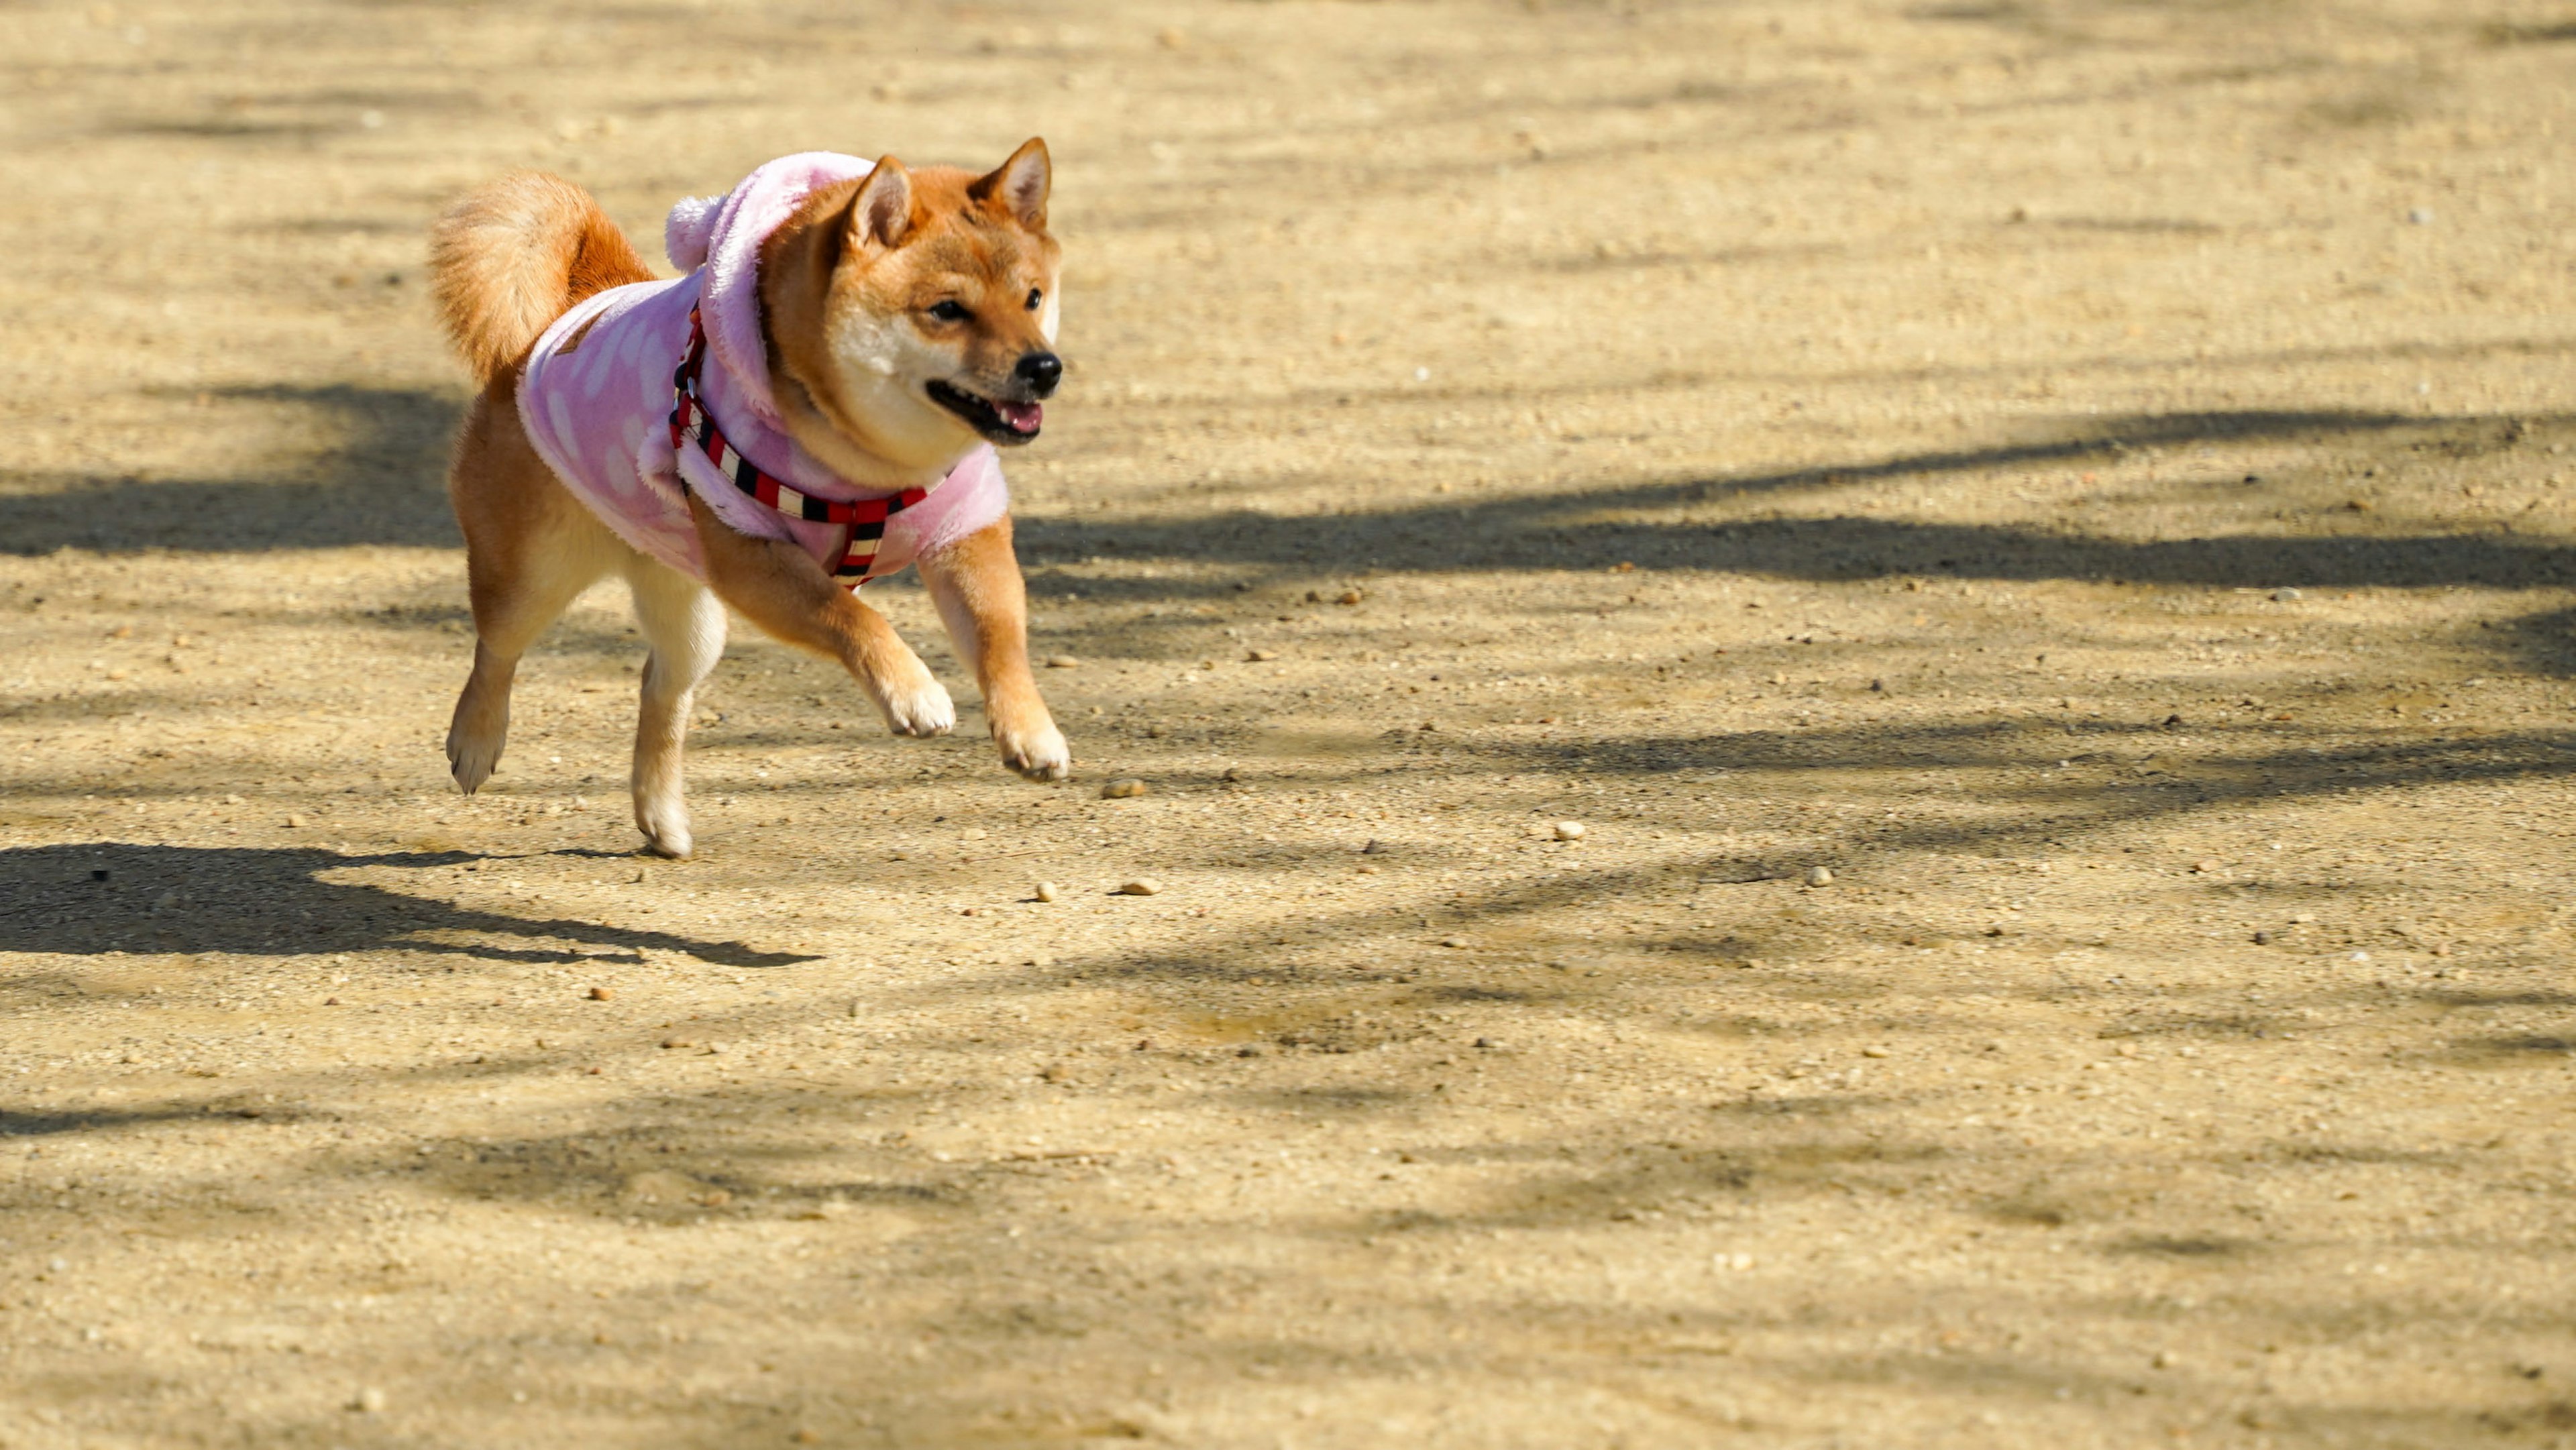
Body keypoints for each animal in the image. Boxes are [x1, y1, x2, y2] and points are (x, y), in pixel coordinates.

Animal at [430, 142, 1066, 854]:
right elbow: (854, 616)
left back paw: (661, 816)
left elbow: (999, 639)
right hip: (532, 577)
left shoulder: (966, 532)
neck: (873, 464)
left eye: (1033, 298)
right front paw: (912, 692)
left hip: (691, 612)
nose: (1044, 368)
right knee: (496, 650)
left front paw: (1031, 730)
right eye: (948, 310)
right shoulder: (755, 558)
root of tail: (568, 315)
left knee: (660, 688)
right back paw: (476, 740)